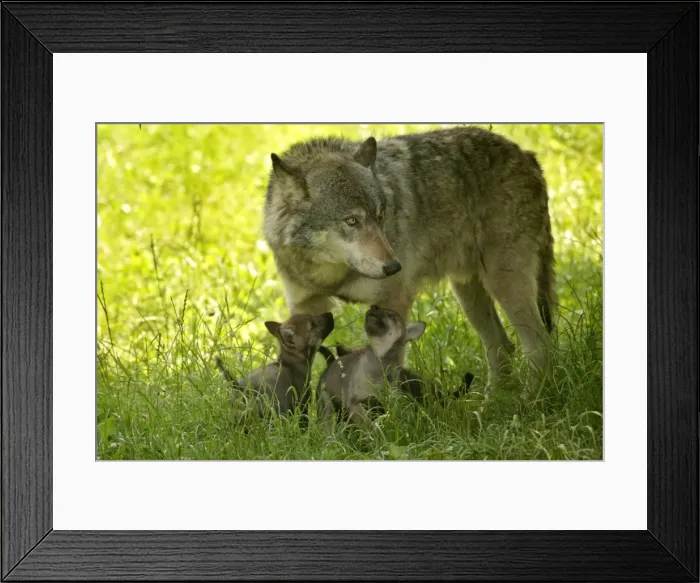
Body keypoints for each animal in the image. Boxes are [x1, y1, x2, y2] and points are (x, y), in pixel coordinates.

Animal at [263, 126, 556, 392]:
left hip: (503, 283)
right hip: (468, 292)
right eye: (352, 221)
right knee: (502, 346)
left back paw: (529, 401)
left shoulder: (394, 301)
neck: (331, 273)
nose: (394, 267)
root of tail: (527, 155)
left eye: (380, 216)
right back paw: (490, 406)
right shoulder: (305, 307)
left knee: (540, 344)